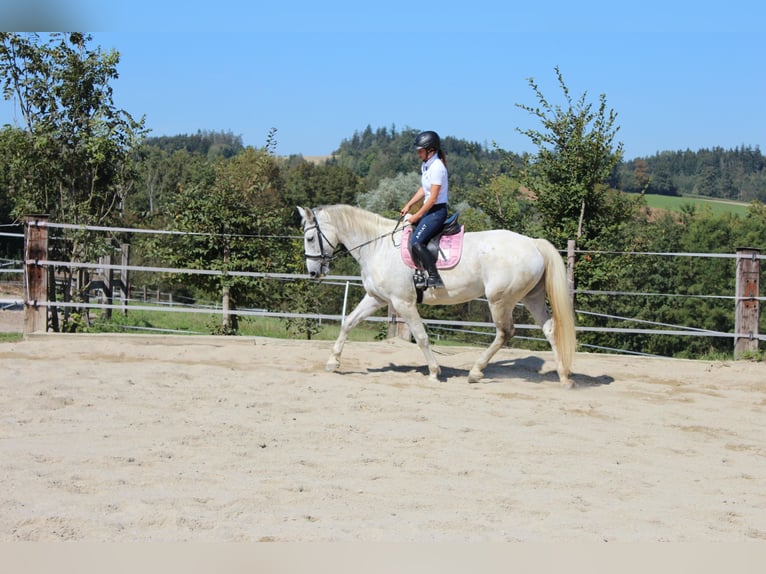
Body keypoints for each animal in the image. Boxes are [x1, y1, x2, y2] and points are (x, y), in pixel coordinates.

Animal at [298, 205, 576, 390]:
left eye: (310, 238)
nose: (313, 272)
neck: (378, 247)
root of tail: (533, 243)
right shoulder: (377, 298)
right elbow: (348, 322)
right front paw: (333, 362)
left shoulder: (403, 303)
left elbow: (421, 337)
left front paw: (434, 371)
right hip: (531, 297)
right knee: (550, 330)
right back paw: (564, 377)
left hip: (500, 300)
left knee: (505, 332)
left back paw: (475, 372)